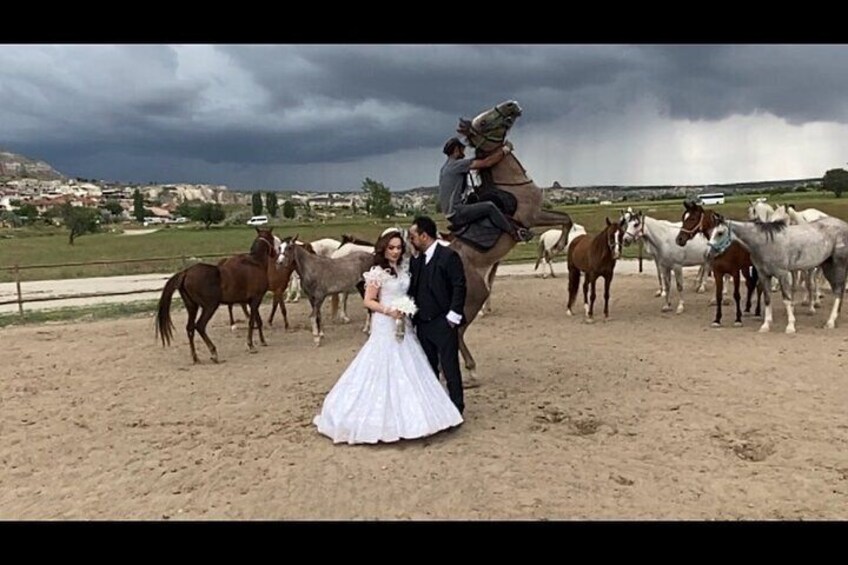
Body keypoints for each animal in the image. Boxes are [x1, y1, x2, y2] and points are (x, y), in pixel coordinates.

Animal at [157, 227, 276, 364]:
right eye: (272, 238)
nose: (275, 253)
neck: (255, 263)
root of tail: (186, 273)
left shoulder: (251, 301)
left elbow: (258, 321)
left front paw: (262, 341)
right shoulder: (256, 299)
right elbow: (252, 322)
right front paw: (251, 345)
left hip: (192, 307)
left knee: (190, 328)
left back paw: (195, 357)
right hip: (210, 306)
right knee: (200, 326)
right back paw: (214, 353)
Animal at [450, 99, 576, 386]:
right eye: (483, 122)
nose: (511, 105)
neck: (512, 184)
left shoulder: (539, 215)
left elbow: (566, 217)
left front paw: (558, 246)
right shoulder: (533, 218)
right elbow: (565, 218)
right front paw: (558, 246)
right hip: (475, 296)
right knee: (457, 331)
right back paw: (471, 370)